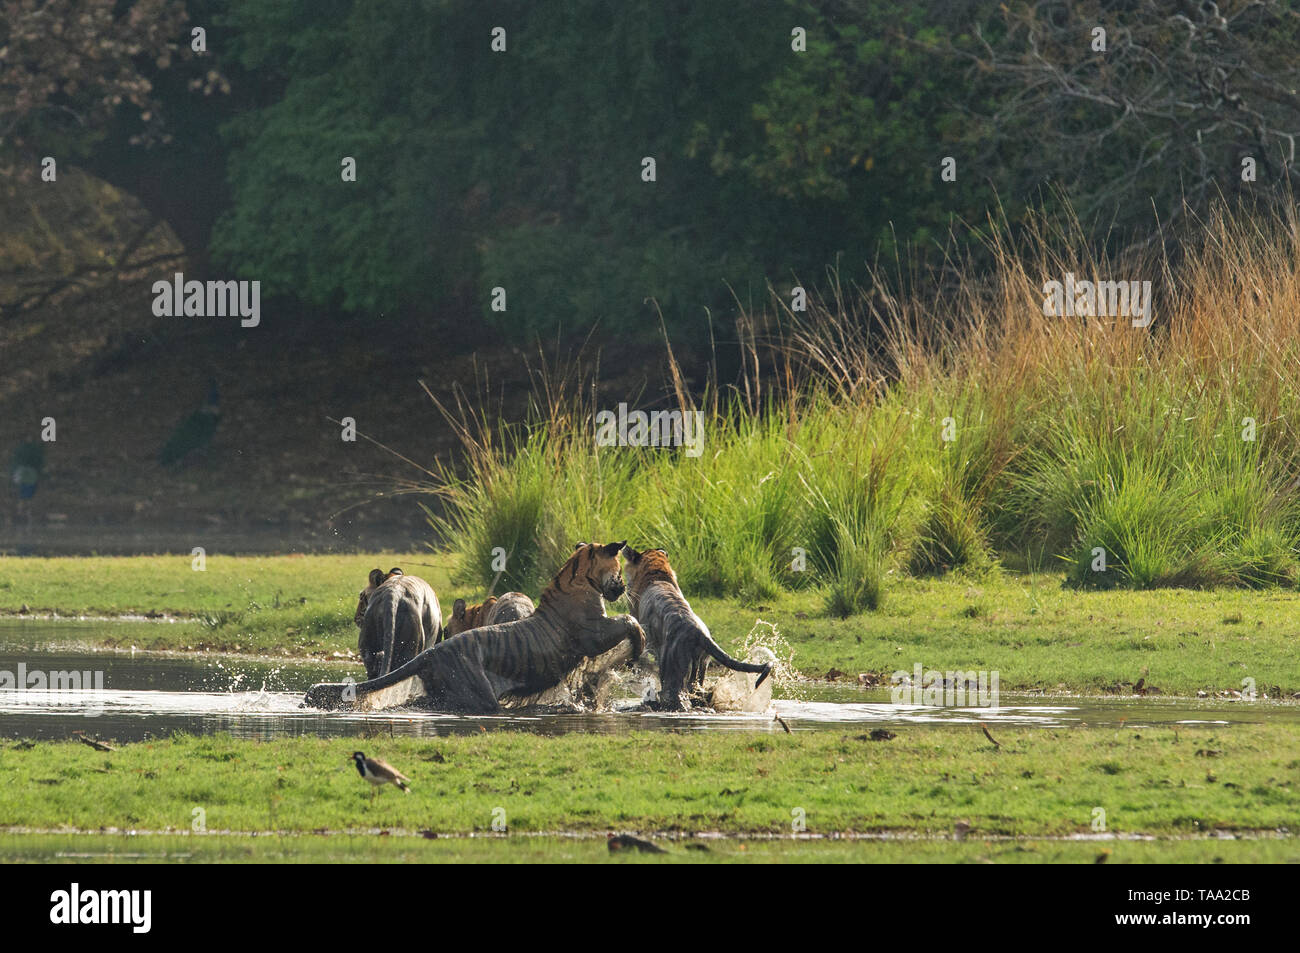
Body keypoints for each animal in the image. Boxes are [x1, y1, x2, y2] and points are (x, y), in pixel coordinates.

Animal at [305, 538, 650, 712]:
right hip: (476, 692)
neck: (579, 580)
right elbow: (629, 620)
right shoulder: (594, 633)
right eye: (619, 570)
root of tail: (432, 653)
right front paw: (639, 646)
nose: (621, 587)